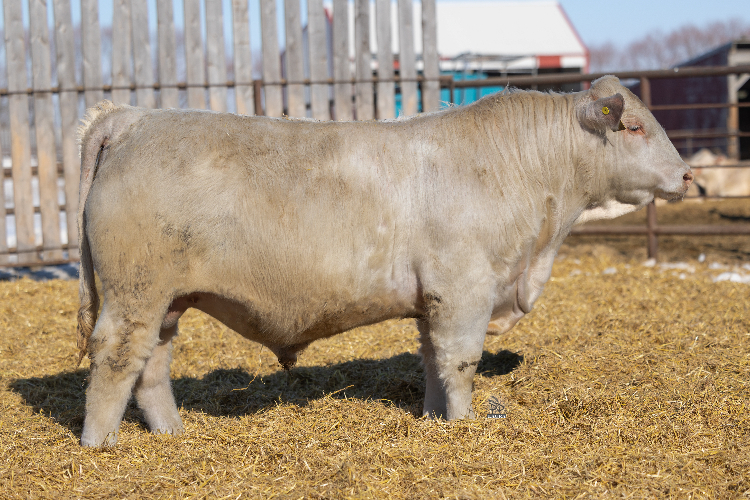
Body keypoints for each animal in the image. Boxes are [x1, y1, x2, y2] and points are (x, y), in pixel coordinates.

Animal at [76, 76, 693, 446]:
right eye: (634, 126)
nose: (688, 175)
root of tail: (134, 117)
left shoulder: (435, 298)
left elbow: (433, 361)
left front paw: (437, 420)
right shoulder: (465, 288)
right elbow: (461, 361)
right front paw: (464, 426)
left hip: (166, 301)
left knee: (151, 366)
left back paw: (171, 434)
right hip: (134, 291)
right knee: (115, 359)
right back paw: (100, 445)